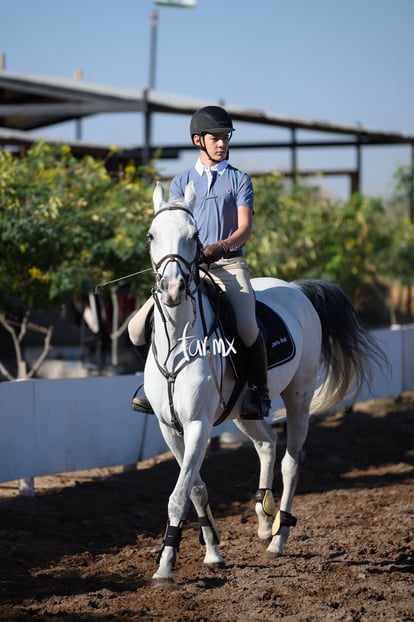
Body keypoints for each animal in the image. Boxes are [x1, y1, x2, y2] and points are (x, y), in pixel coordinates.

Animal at [142, 180, 384, 584]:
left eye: (194, 236)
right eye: (151, 235)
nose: (173, 289)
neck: (179, 341)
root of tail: (296, 288)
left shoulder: (197, 425)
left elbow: (179, 495)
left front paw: (164, 568)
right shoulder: (169, 428)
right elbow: (195, 488)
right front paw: (212, 552)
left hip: (299, 398)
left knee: (291, 460)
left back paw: (278, 536)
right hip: (245, 411)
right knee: (267, 443)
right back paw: (261, 518)